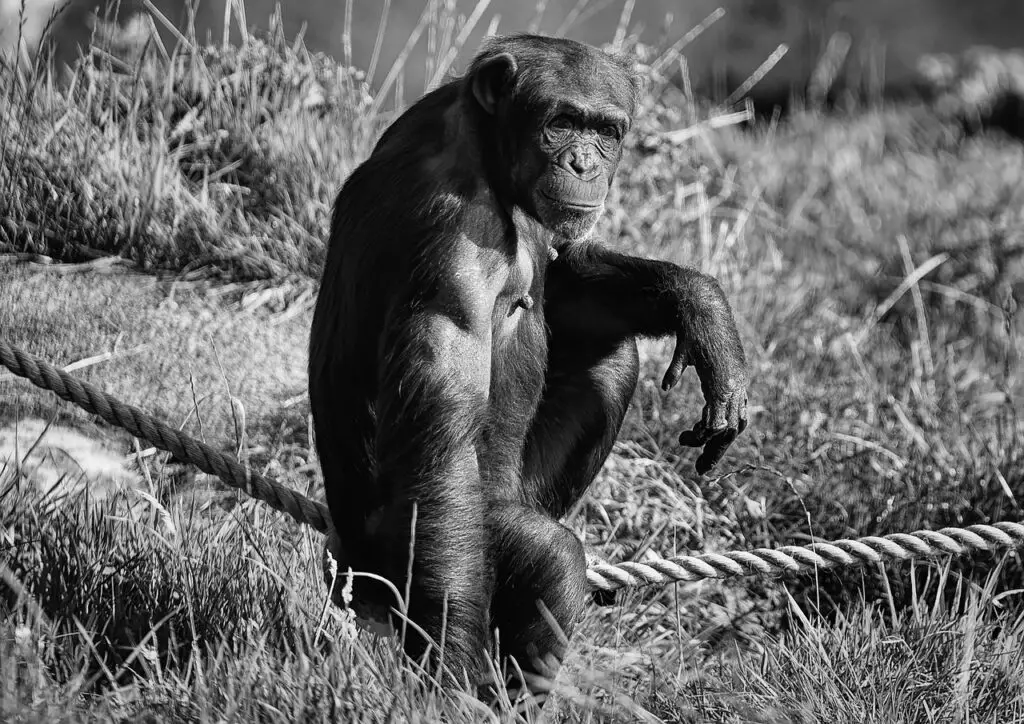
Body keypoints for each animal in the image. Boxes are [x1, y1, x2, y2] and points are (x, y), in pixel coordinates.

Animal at [307, 32, 749, 692]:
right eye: (560, 123)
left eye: (607, 131)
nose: (585, 163)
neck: (486, 152)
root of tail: (351, 571)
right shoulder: (453, 246)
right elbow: (441, 459)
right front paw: (450, 678)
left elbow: (562, 280)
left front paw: (701, 306)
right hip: (414, 559)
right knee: (543, 558)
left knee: (612, 359)